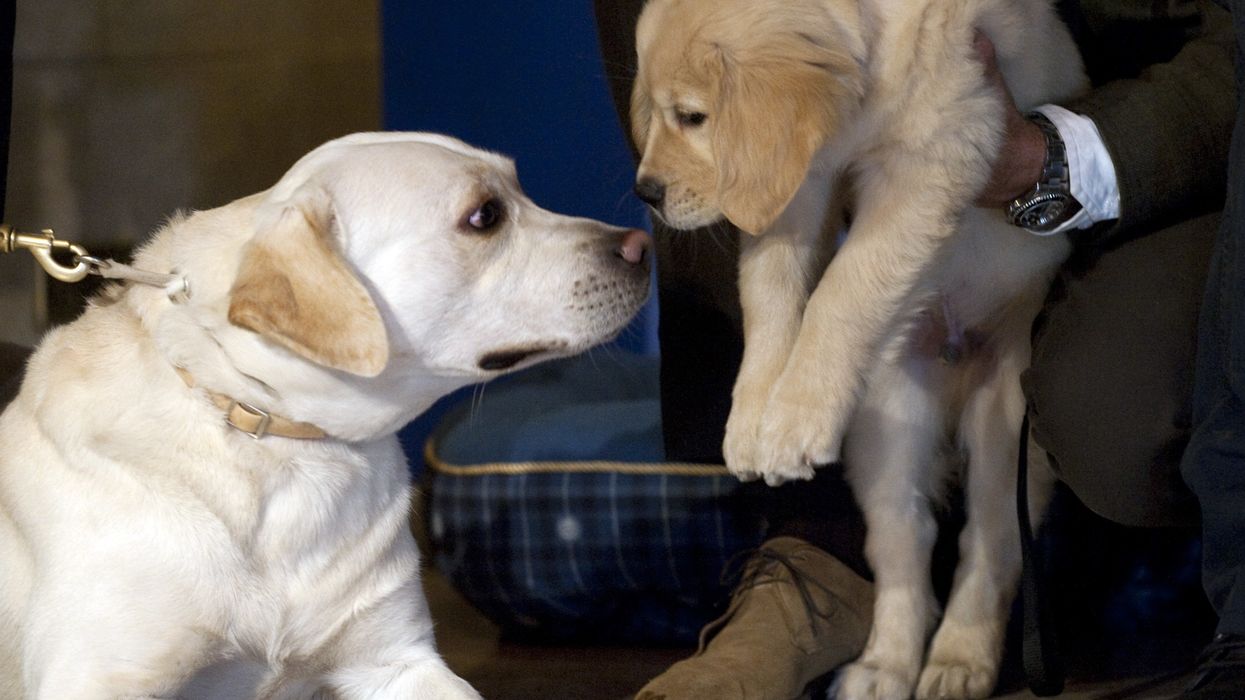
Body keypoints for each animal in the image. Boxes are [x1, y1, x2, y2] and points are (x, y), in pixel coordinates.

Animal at [637, 1, 1085, 697]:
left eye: (692, 116)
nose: (647, 193)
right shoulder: (798, 182)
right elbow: (770, 294)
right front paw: (757, 418)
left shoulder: (940, 154)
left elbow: (843, 287)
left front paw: (792, 420)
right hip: (887, 417)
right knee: (906, 540)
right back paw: (884, 667)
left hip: (1008, 426)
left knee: (990, 544)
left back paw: (959, 660)